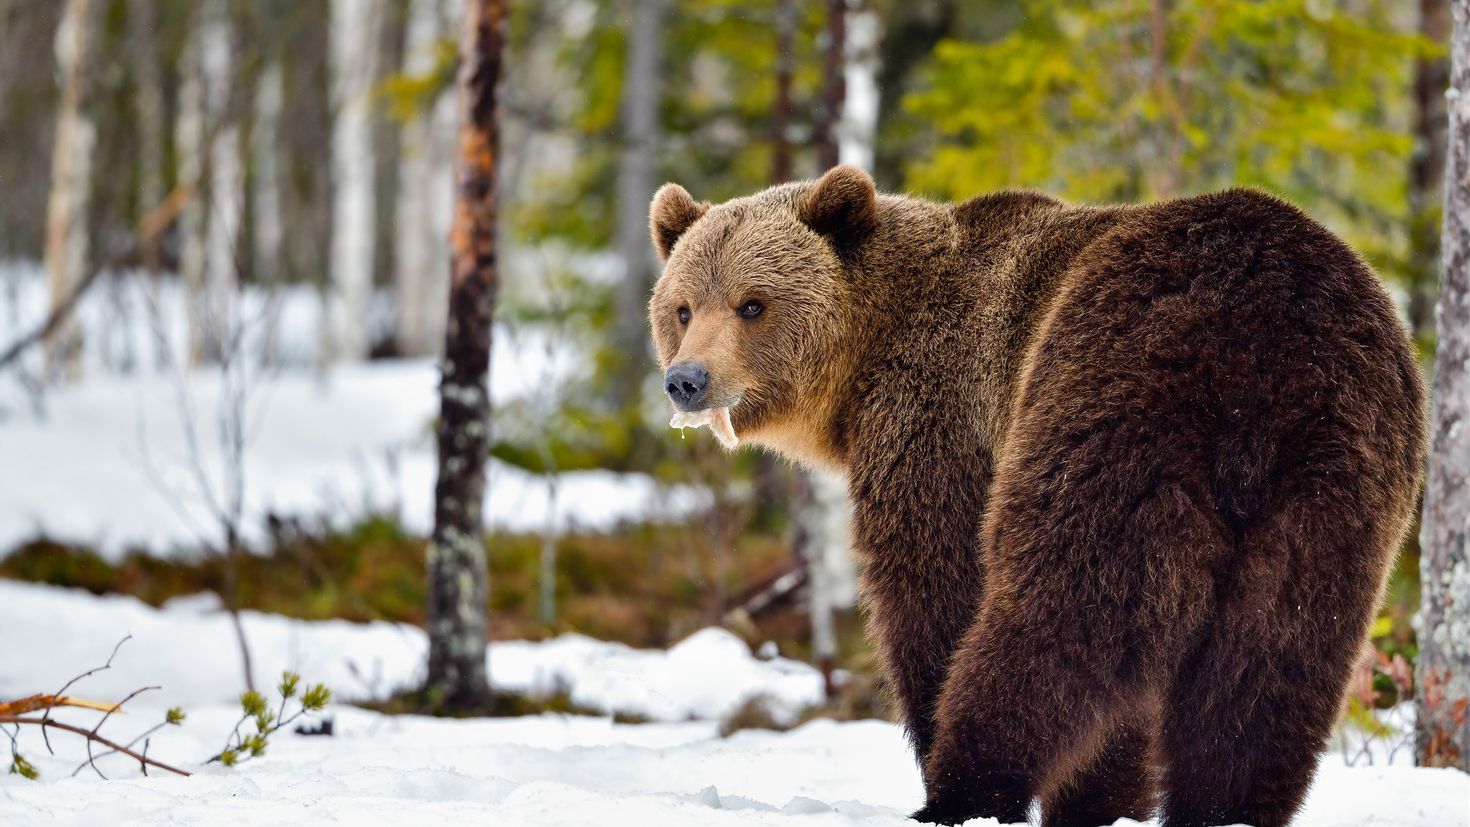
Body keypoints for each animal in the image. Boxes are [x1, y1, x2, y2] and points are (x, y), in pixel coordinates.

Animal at [643, 166, 1422, 827]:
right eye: (682, 307)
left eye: (752, 303)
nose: (687, 380)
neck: (864, 365)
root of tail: (1268, 335)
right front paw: (1107, 799)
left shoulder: (941, 422)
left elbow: (935, 589)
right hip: (1339, 471)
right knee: (1276, 654)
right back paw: (1226, 806)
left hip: (1110, 397)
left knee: (1063, 612)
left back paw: (964, 792)